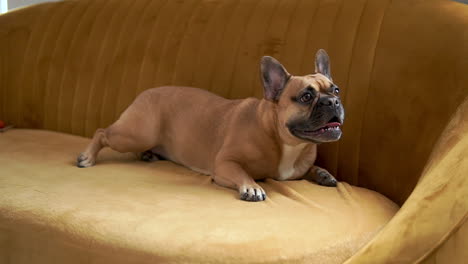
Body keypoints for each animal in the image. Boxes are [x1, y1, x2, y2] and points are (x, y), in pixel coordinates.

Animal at [77, 50, 344, 202]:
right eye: (306, 97)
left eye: (336, 90)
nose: (333, 101)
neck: (285, 141)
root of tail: (145, 92)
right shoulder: (225, 163)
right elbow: (243, 172)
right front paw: (252, 187)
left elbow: (312, 169)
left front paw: (323, 173)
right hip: (137, 133)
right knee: (102, 133)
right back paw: (87, 157)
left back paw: (148, 155)